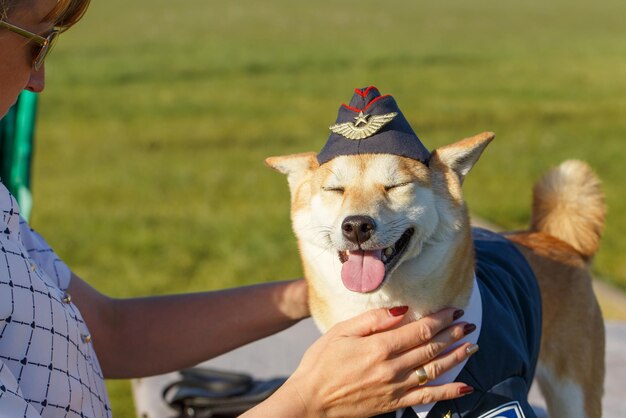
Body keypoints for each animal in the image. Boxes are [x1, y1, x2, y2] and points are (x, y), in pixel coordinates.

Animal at [266, 86, 604, 416]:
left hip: (574, 395)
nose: (357, 225)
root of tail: (553, 238)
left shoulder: (499, 393)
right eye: (334, 190)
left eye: (396, 186)